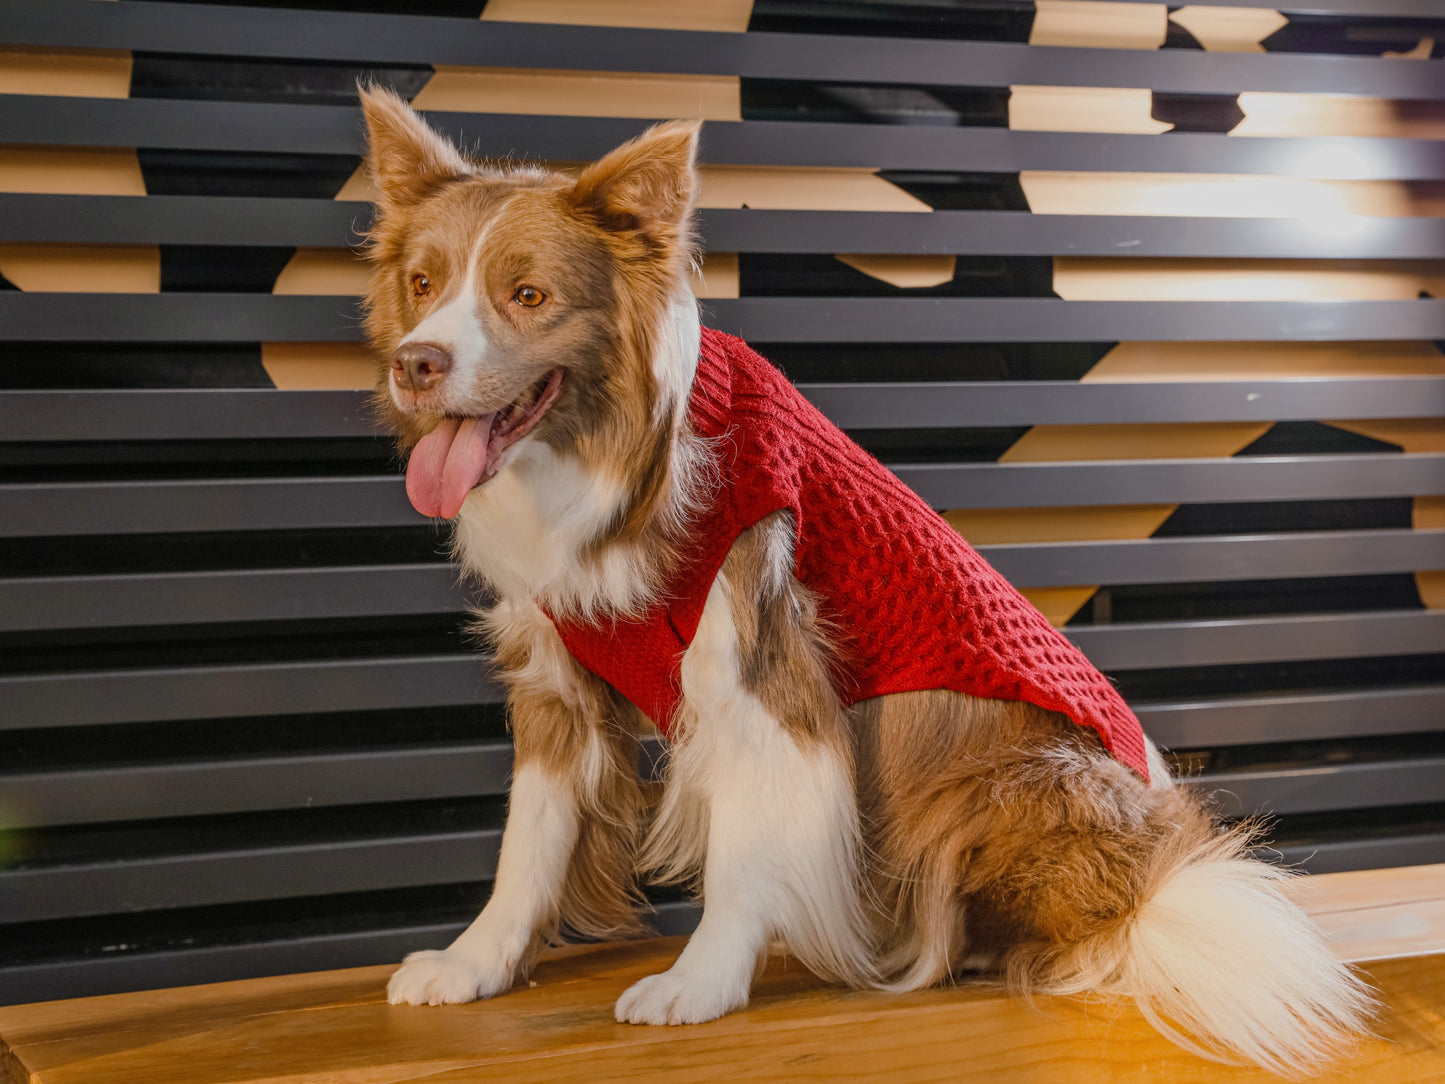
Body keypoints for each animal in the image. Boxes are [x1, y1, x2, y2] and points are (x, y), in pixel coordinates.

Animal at [355, 89, 1369, 1081]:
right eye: (423, 285)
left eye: (527, 295)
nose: (417, 363)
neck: (614, 460)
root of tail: (1174, 867)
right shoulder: (555, 682)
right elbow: (528, 840)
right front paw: (476, 962)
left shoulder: (762, 673)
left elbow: (742, 851)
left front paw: (700, 983)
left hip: (1007, 786)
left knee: (1103, 923)